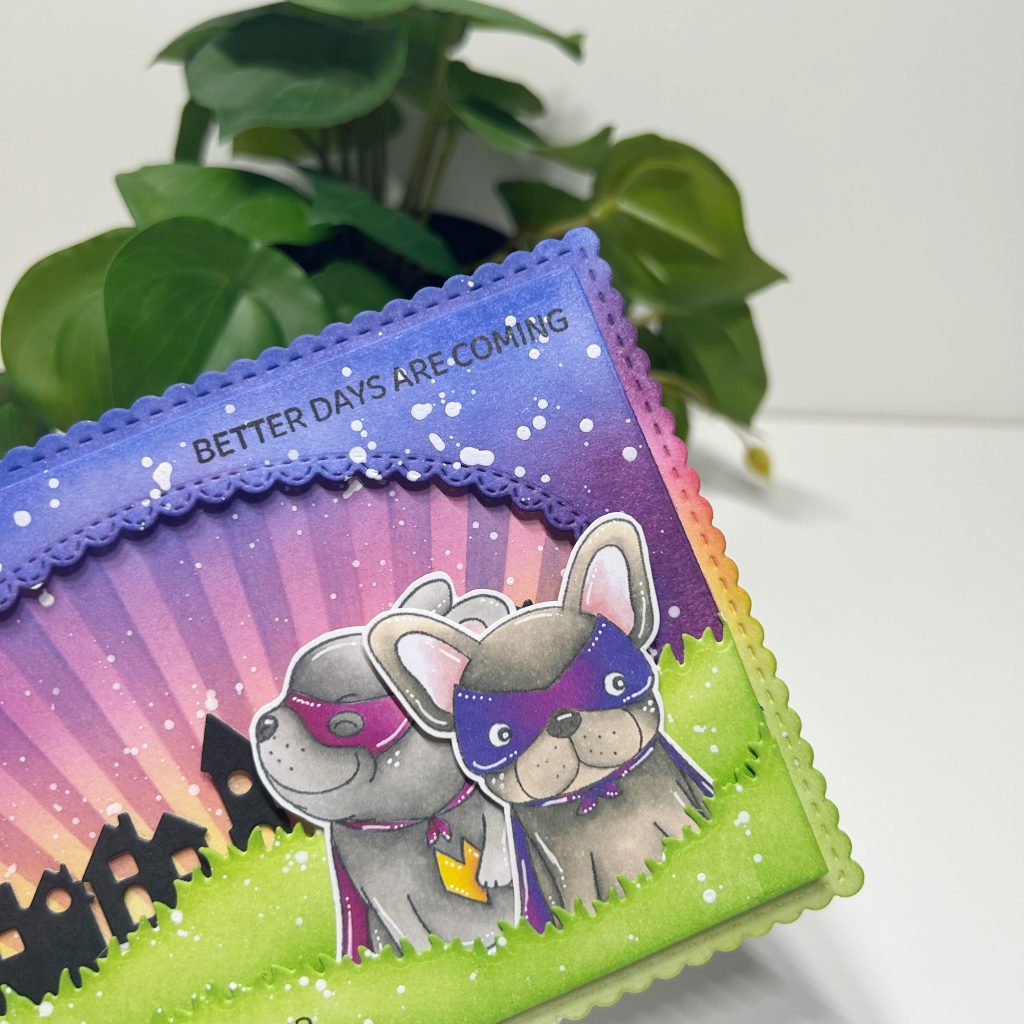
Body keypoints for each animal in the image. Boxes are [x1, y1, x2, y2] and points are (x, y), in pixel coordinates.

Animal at [251, 577, 516, 959]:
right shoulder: (380, 891)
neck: (425, 818)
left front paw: (495, 872)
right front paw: (427, 959)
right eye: (285, 698)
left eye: (345, 724)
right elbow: (407, 930)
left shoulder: (478, 800)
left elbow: (496, 822)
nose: (263, 723)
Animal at [366, 514, 713, 930]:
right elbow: (584, 908)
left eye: (615, 683)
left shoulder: (681, 814)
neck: (594, 794)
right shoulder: (571, 881)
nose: (563, 720)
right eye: (500, 734)